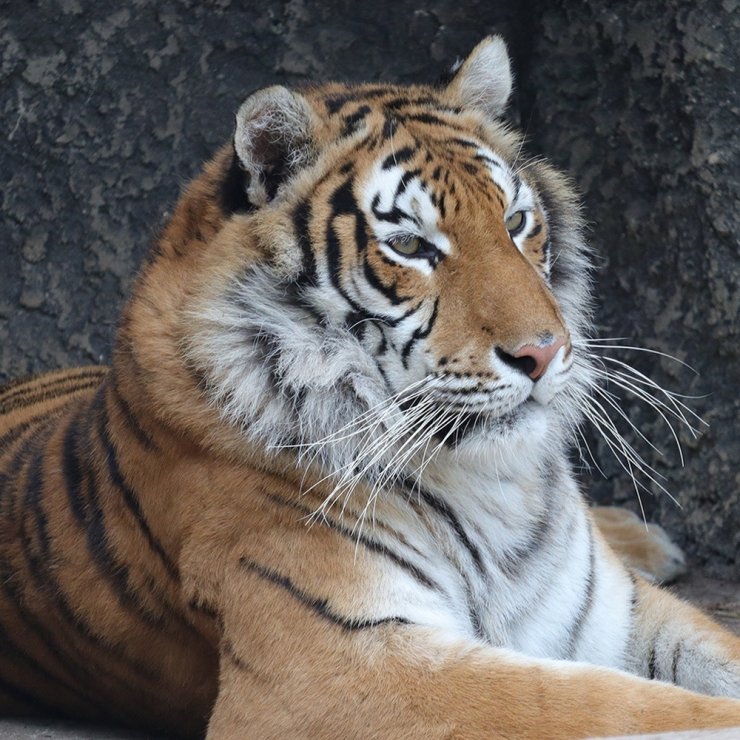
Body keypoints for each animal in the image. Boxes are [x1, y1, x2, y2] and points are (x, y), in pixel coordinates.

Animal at [1, 34, 740, 740]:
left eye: (515, 223)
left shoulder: (612, 611)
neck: (489, 482)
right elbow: (608, 705)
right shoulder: (339, 669)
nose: (543, 352)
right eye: (410, 246)